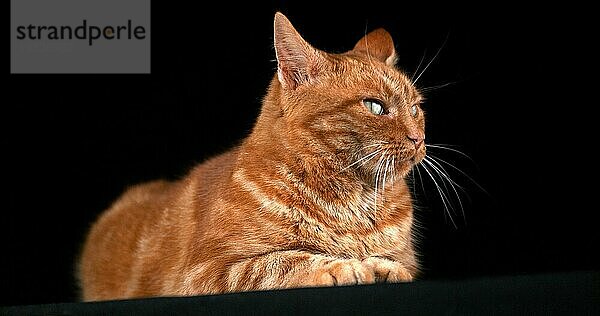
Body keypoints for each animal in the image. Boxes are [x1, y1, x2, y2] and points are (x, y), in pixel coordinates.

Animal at [78, 11, 426, 302]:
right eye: (375, 106)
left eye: (415, 108)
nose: (419, 138)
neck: (353, 203)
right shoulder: (207, 272)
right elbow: (281, 261)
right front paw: (343, 266)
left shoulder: (406, 258)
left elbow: (399, 265)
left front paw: (382, 266)